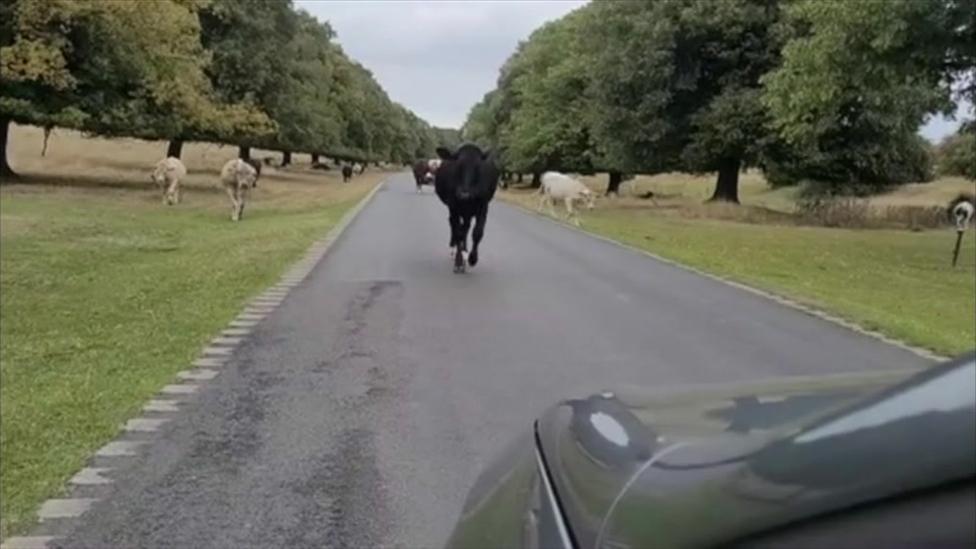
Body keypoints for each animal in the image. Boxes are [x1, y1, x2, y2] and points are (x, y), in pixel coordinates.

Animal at [434, 143, 500, 272]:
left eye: (478, 167)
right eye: (457, 165)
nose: (464, 194)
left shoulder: (484, 206)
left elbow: (477, 232)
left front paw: (472, 258)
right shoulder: (453, 206)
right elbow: (458, 233)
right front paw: (458, 261)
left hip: (468, 212)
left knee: (466, 227)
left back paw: (465, 251)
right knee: (455, 225)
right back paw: (454, 249)